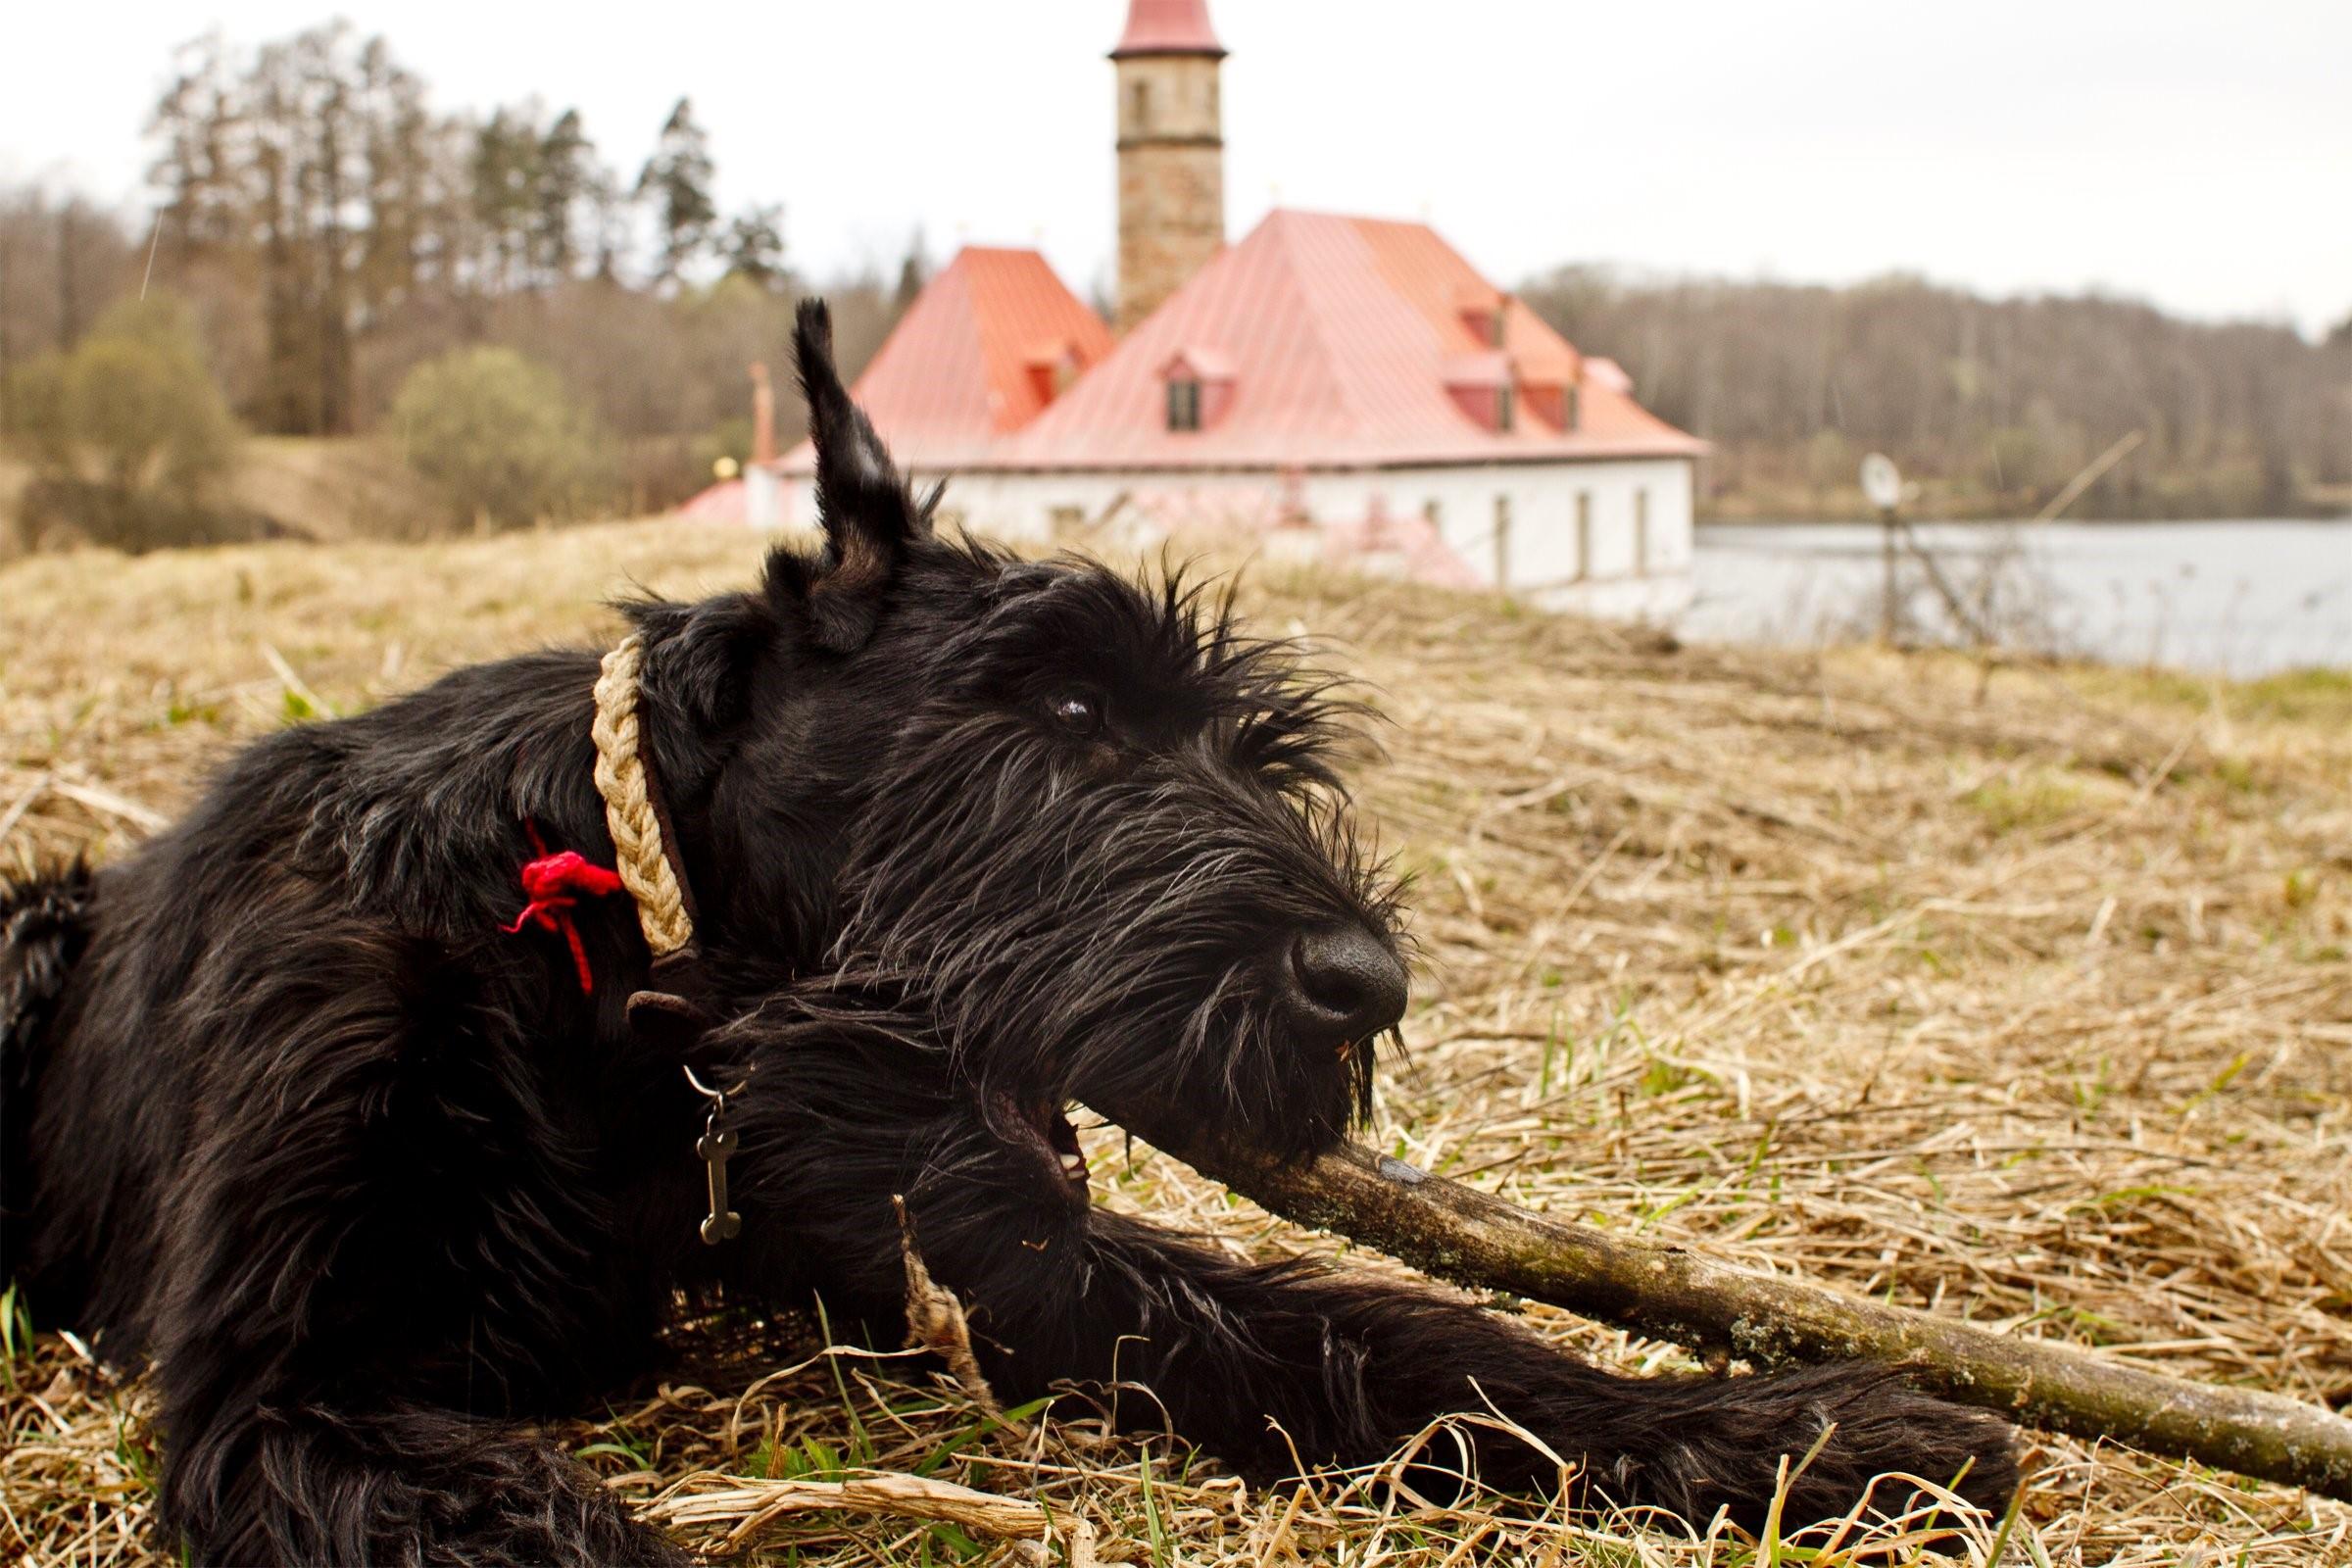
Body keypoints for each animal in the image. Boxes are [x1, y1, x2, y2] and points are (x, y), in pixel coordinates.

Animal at [0, 301, 2023, 1560]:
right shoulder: (279, 1391)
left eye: (1252, 757)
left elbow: (1389, 1335)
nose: (1359, 983)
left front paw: (1795, 1434)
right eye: (1060, 710)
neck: (616, 956)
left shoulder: (963, 1263)